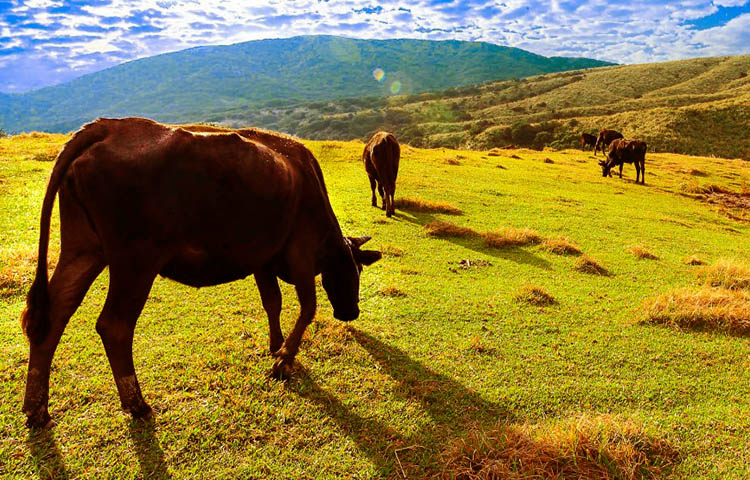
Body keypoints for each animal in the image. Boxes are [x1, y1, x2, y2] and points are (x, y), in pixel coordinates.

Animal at [20, 117, 384, 428]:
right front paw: (284, 360)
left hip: (84, 248)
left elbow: (273, 302)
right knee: (114, 326)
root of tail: (111, 126)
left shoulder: (263, 259)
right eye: (354, 271)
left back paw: (36, 409)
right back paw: (136, 403)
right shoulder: (300, 254)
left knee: (55, 314)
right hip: (136, 260)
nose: (351, 312)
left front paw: (276, 345)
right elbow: (308, 307)